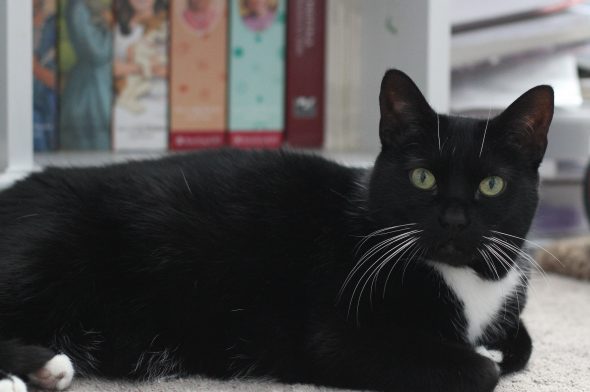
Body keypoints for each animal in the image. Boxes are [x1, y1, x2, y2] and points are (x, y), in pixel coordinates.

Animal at [0, 69, 556, 390]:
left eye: (491, 185)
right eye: (423, 177)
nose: (455, 219)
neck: (464, 280)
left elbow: (521, 344)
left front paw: (497, 344)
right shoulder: (339, 334)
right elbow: (483, 369)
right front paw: (481, 355)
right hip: (44, 253)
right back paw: (41, 369)